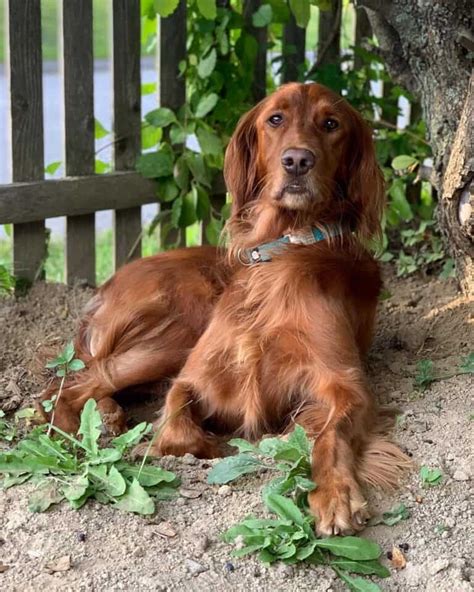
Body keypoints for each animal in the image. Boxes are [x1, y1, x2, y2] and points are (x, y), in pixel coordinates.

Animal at [40, 82, 410, 532]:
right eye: (275, 118)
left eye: (331, 124)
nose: (297, 161)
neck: (284, 248)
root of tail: (108, 285)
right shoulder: (194, 375)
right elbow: (177, 430)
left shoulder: (346, 383)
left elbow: (331, 433)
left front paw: (334, 493)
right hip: (178, 331)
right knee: (69, 385)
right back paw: (81, 428)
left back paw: (107, 413)